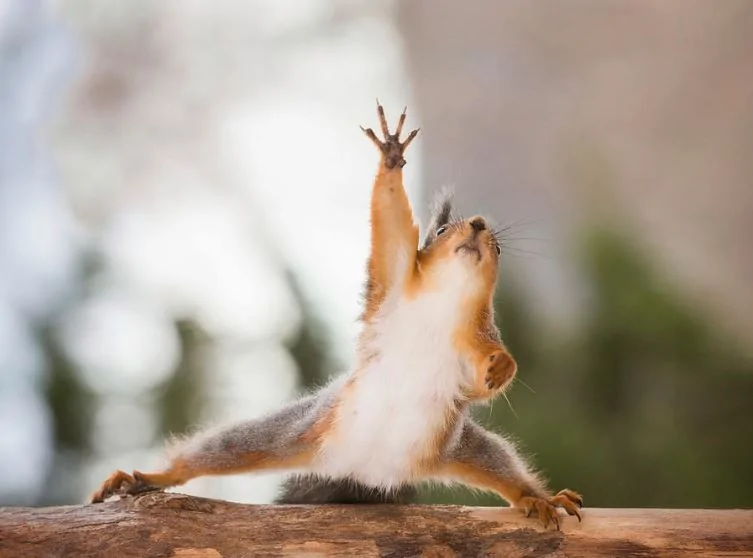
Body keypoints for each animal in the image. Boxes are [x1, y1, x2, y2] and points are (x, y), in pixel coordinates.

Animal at [89, 103, 582, 529]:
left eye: (498, 247)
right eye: (443, 229)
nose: (479, 225)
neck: (444, 299)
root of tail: (365, 471)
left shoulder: (474, 336)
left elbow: (482, 376)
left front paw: (502, 367)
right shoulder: (392, 279)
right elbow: (392, 225)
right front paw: (391, 154)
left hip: (456, 446)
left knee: (503, 467)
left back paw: (537, 497)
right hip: (296, 430)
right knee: (220, 451)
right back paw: (148, 479)